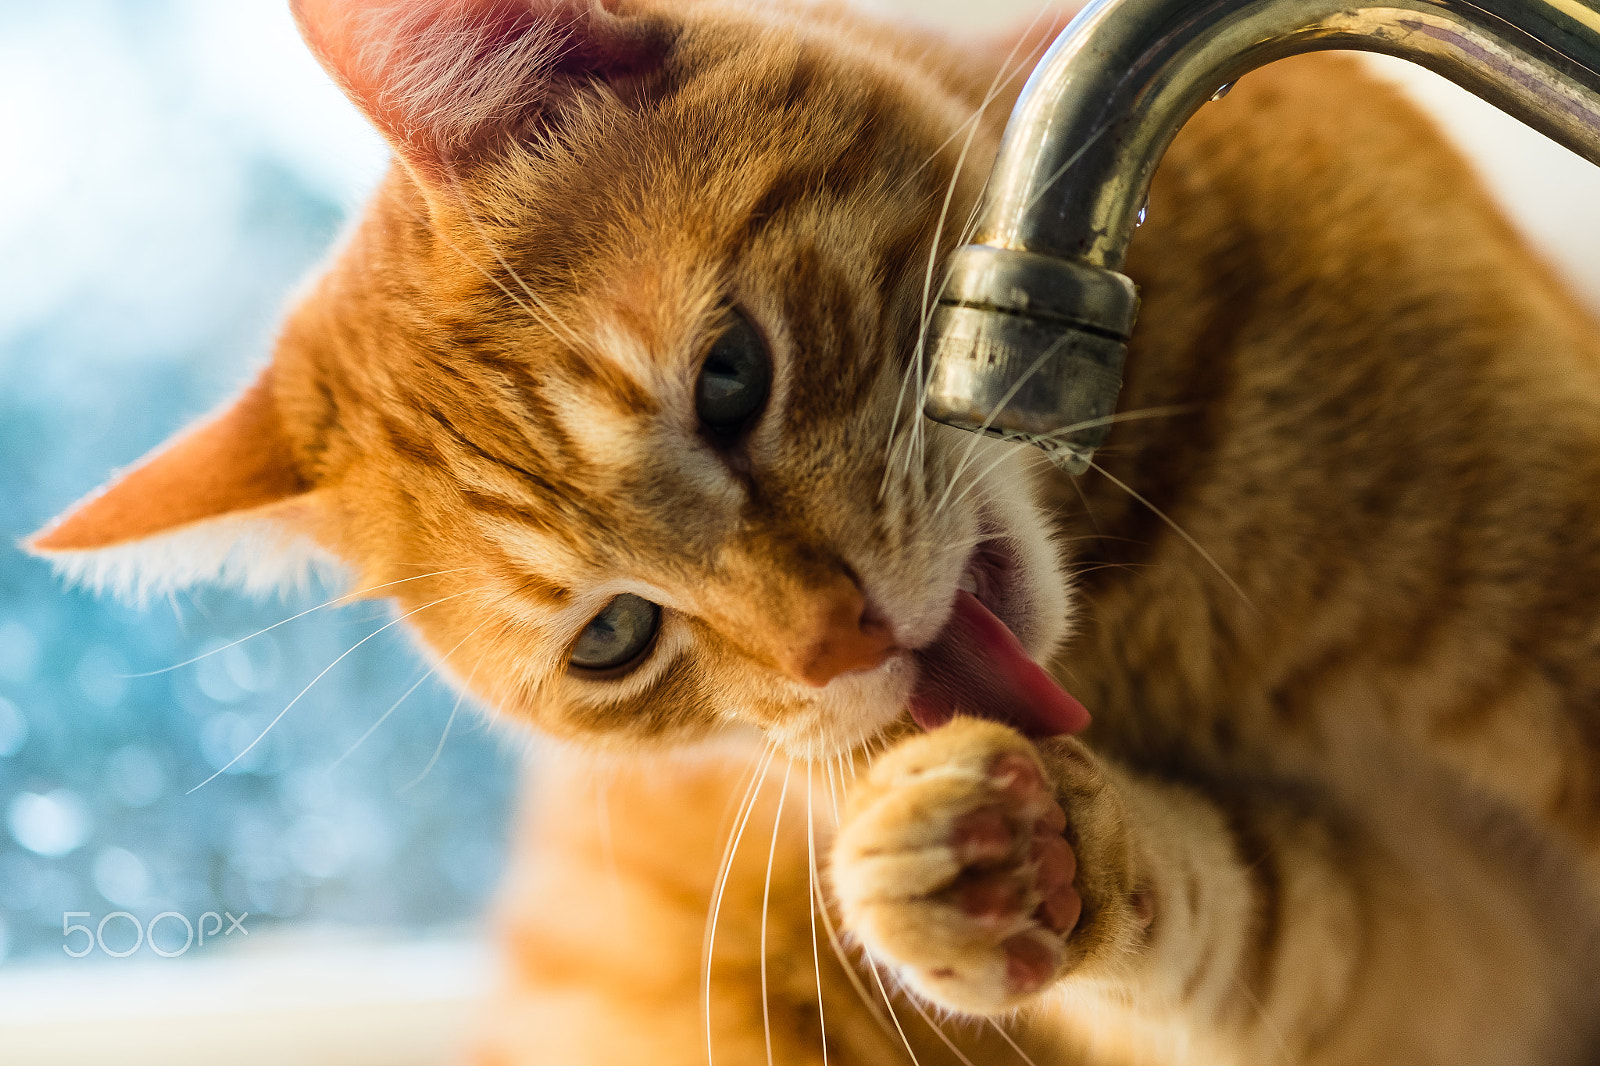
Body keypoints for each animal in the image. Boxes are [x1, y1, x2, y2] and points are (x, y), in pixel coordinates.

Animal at [28, 0, 1600, 1056]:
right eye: (614, 636)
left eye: (732, 378)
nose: (841, 638)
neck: (1168, 595)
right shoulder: (1422, 964)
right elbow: (1257, 923)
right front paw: (998, 863)